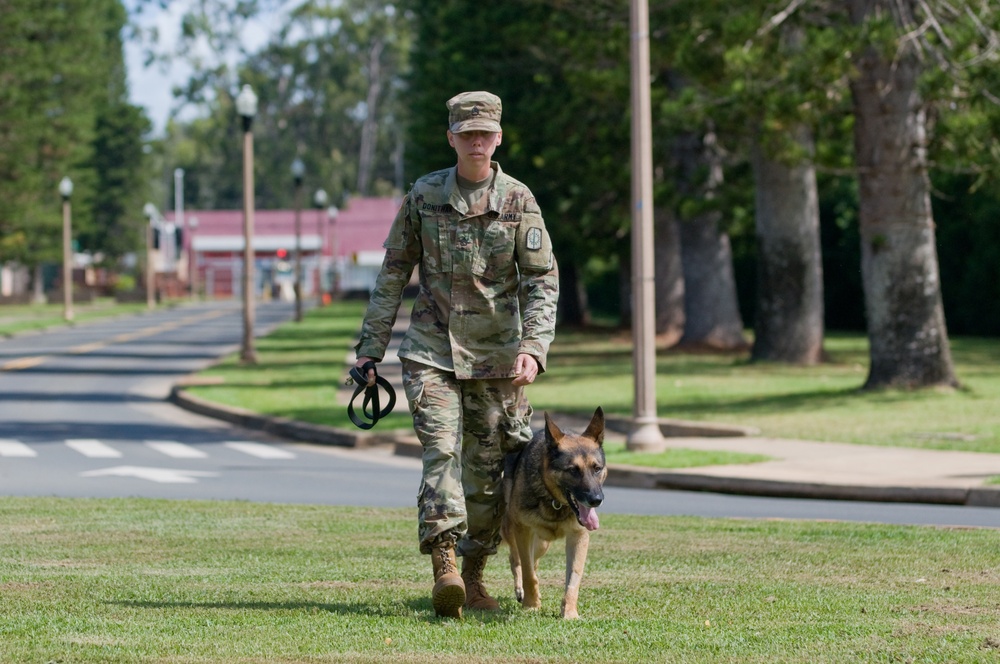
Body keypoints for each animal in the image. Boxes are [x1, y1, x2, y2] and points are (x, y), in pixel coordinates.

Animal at [500, 408, 608, 620]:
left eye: (597, 468)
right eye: (573, 470)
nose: (596, 499)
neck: (554, 501)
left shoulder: (578, 536)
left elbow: (573, 578)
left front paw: (570, 613)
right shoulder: (523, 530)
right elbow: (528, 573)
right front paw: (531, 606)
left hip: (542, 545)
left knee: (532, 561)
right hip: (517, 533)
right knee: (517, 560)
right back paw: (522, 591)